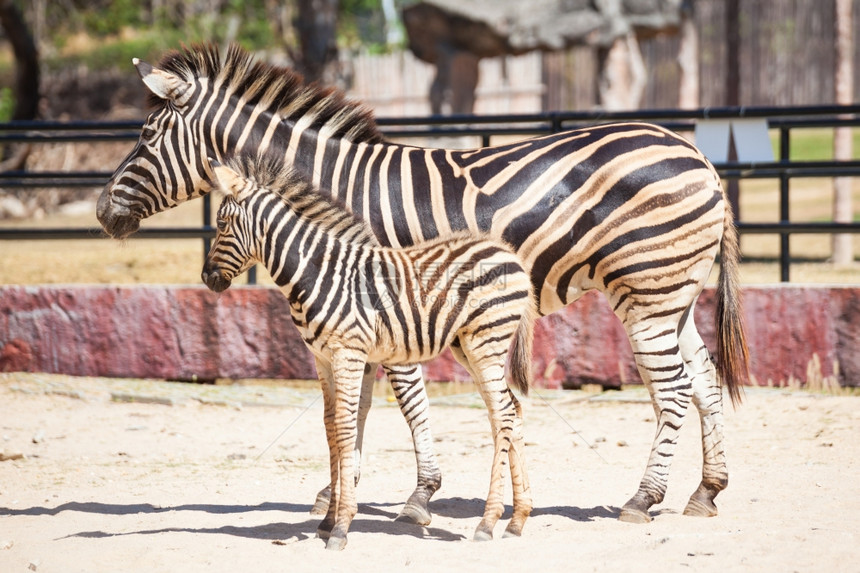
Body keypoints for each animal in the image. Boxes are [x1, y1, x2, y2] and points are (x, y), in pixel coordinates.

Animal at [99, 43, 744, 524]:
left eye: (147, 136)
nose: (103, 214)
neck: (332, 192)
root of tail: (698, 156)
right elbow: (358, 402)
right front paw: (338, 491)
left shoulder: (385, 293)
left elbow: (403, 398)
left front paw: (418, 495)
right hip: (671, 295)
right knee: (704, 380)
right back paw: (706, 490)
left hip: (647, 292)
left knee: (674, 390)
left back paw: (643, 498)